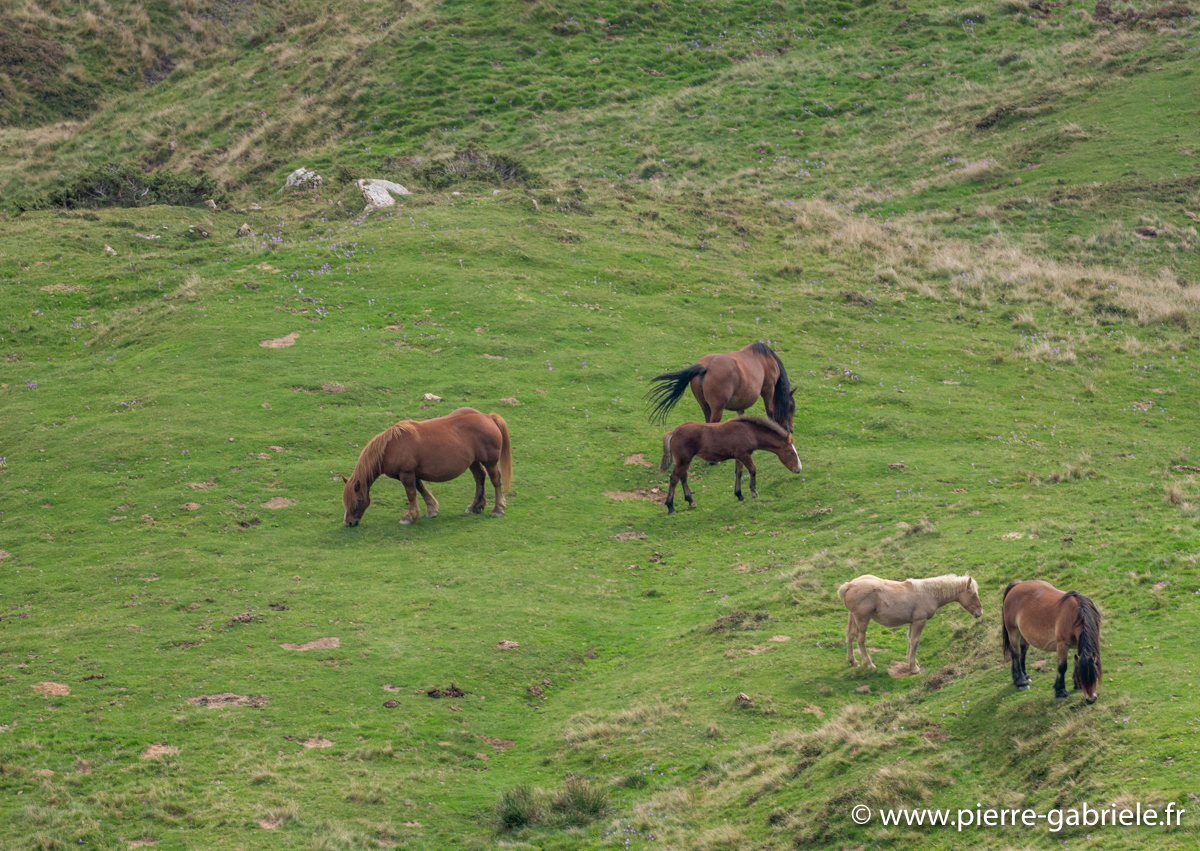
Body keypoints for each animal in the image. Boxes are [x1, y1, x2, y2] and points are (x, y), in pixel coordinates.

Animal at [341, 407, 512, 526]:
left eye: (358, 500)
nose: (349, 522)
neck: (390, 447)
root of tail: (488, 417)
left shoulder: (406, 474)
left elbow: (411, 494)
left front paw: (409, 517)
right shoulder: (412, 474)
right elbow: (421, 489)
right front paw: (431, 510)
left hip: (490, 462)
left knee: (495, 480)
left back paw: (498, 509)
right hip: (474, 462)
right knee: (479, 478)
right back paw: (475, 507)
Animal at [646, 341, 796, 432]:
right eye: (791, 408)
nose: (791, 429)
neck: (767, 360)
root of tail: (705, 367)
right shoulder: (768, 390)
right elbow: (770, 412)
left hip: (705, 406)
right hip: (717, 409)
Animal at [658, 416, 801, 515]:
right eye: (791, 452)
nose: (798, 469)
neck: (749, 431)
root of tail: (674, 433)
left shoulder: (739, 457)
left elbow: (739, 473)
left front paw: (739, 495)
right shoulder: (744, 455)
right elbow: (753, 470)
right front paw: (753, 492)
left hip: (685, 461)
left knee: (683, 477)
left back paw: (691, 500)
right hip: (683, 460)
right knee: (674, 478)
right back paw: (670, 506)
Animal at [838, 573, 982, 673]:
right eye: (974, 594)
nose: (979, 613)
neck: (928, 593)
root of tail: (850, 585)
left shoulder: (912, 622)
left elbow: (910, 640)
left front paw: (911, 663)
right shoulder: (920, 621)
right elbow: (915, 641)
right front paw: (914, 668)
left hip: (853, 617)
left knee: (850, 635)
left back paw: (852, 661)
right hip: (862, 619)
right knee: (860, 639)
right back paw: (869, 664)